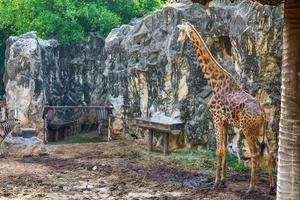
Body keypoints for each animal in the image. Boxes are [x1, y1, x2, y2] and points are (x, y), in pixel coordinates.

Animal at [177, 21, 276, 192]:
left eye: (181, 31)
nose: (177, 41)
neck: (214, 83)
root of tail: (263, 112)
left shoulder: (216, 120)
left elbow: (218, 151)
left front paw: (216, 182)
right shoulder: (224, 123)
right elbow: (224, 150)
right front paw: (223, 181)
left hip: (248, 130)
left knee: (255, 154)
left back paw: (251, 188)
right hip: (261, 130)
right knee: (269, 153)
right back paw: (271, 187)